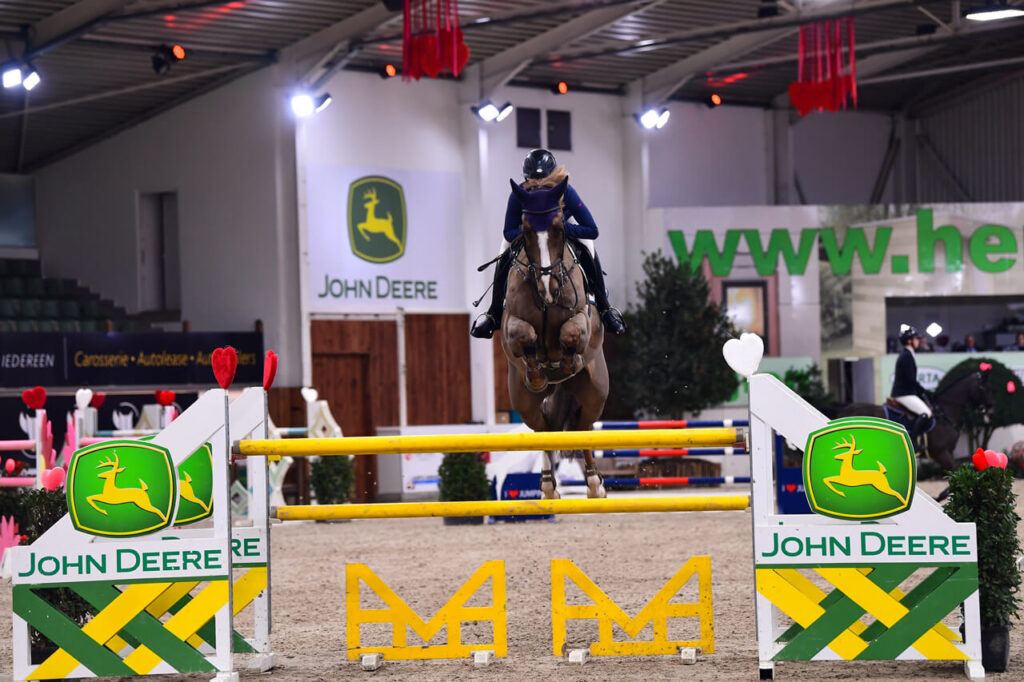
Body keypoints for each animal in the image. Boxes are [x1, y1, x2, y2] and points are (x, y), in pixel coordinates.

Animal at [497, 173, 602, 497]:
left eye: (558, 228)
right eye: (527, 231)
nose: (548, 287)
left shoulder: (582, 318)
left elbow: (570, 333)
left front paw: (566, 361)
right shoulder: (511, 324)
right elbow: (524, 334)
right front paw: (537, 368)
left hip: (596, 393)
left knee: (583, 427)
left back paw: (595, 484)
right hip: (524, 401)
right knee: (545, 429)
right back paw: (547, 486)